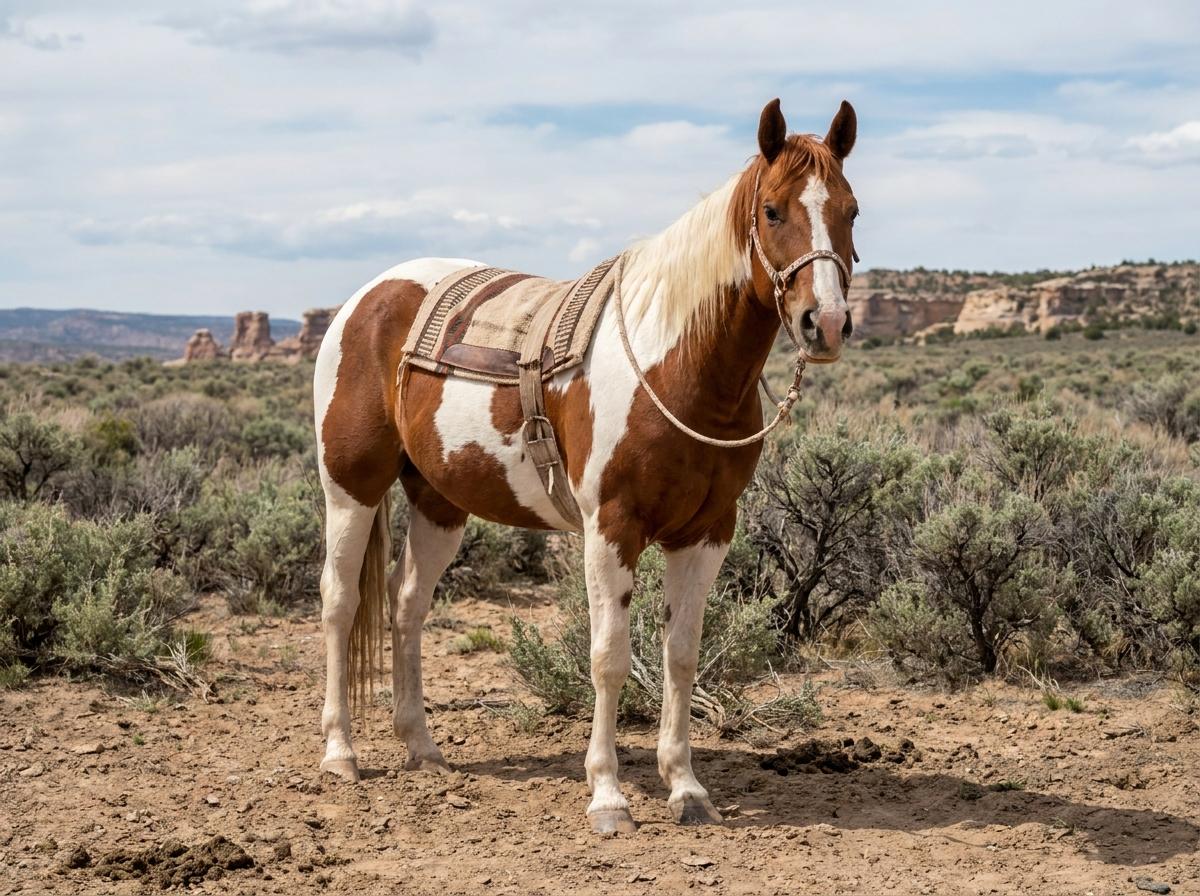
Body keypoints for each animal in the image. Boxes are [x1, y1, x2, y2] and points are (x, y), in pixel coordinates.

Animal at [313, 97, 860, 834]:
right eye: (772, 210)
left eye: (851, 210)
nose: (823, 324)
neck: (677, 362)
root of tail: (363, 300)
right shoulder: (611, 528)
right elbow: (608, 658)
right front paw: (607, 795)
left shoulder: (708, 532)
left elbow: (682, 655)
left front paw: (686, 787)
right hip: (351, 487)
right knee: (341, 603)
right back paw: (341, 752)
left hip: (438, 501)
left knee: (407, 605)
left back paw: (421, 746)